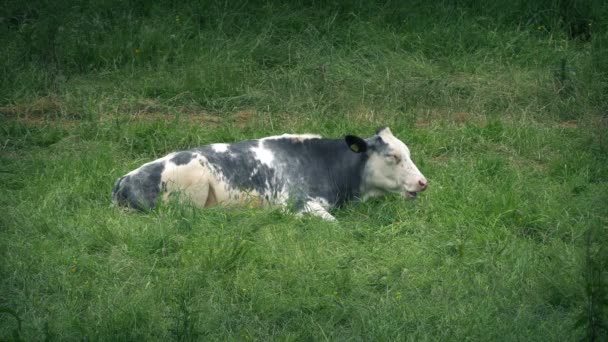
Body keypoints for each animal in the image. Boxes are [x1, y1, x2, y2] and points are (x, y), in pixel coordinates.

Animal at [113, 127, 428, 220]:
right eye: (392, 156)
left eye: (408, 152)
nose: (423, 182)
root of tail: (123, 180)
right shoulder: (297, 203)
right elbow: (333, 223)